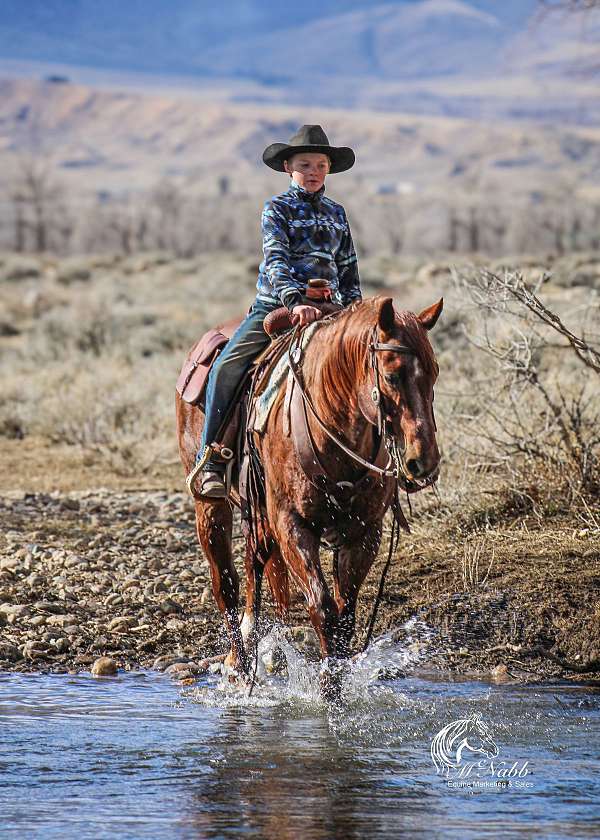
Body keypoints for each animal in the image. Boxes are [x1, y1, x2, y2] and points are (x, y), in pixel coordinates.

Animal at [176, 296, 442, 696]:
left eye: (435, 372)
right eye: (392, 375)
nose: (422, 461)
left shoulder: (364, 534)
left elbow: (345, 615)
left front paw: (339, 681)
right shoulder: (293, 526)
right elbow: (322, 607)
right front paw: (328, 688)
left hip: (259, 515)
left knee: (260, 573)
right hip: (212, 509)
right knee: (227, 583)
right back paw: (238, 664)